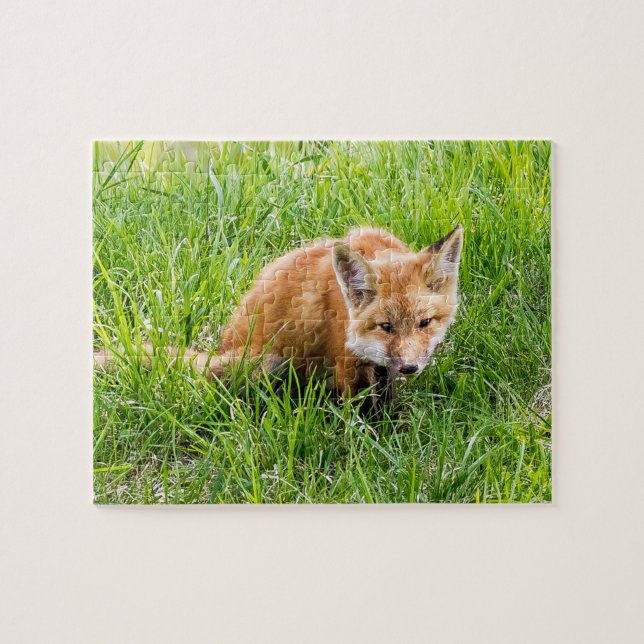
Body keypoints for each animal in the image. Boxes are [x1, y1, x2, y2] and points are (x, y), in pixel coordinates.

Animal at [95, 225, 463, 406]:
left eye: (425, 323)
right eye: (385, 326)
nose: (410, 368)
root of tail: (221, 349)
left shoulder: (381, 368)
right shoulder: (347, 363)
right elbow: (361, 416)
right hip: (270, 363)